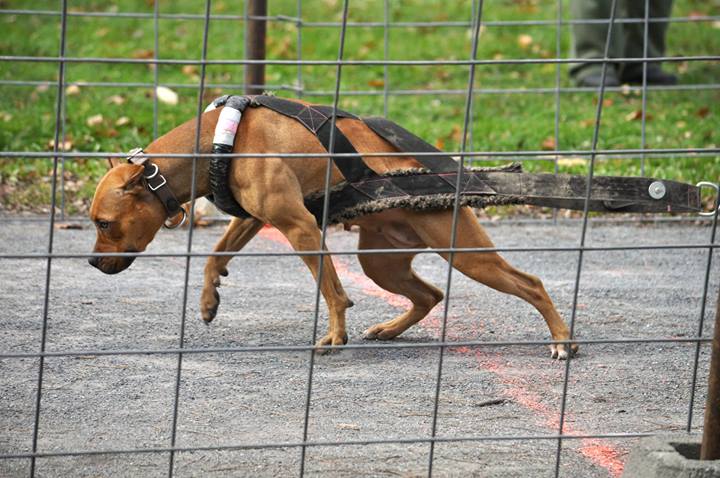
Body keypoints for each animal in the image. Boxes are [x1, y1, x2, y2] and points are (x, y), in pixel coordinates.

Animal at [88, 100, 580, 358]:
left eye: (104, 223)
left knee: (531, 283)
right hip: (382, 262)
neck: (217, 140)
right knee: (430, 294)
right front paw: (209, 300)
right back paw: (389, 330)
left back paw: (562, 341)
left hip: (466, 252)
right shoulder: (254, 218)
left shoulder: (299, 226)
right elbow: (216, 255)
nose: (92, 261)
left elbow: (331, 289)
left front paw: (335, 335)